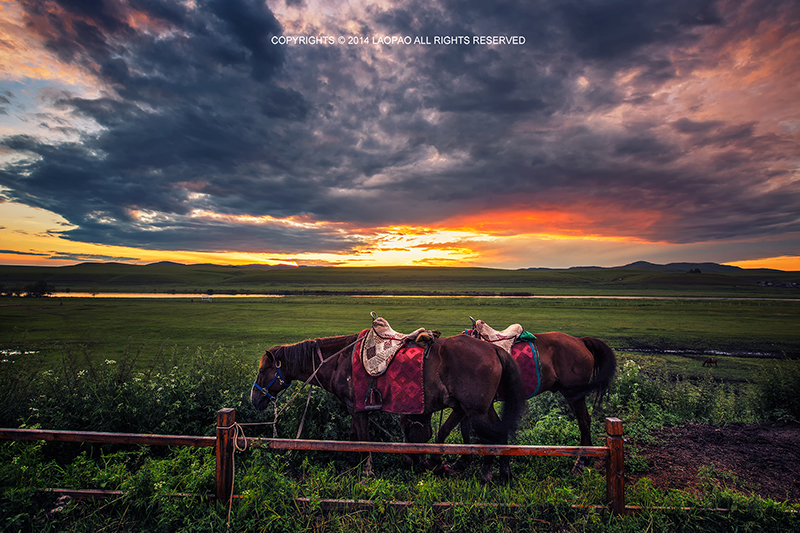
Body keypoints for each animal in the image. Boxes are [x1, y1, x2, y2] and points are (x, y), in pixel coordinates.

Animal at [251, 331, 526, 484]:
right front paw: (351, 466)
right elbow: (353, 438)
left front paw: (366, 473)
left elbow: (362, 440)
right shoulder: (355, 409)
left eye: (263, 370)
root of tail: (492, 348)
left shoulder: (358, 409)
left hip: (476, 410)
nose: (254, 399)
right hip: (480, 408)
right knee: (498, 435)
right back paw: (500, 474)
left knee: (493, 436)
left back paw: (490, 475)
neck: (340, 360)